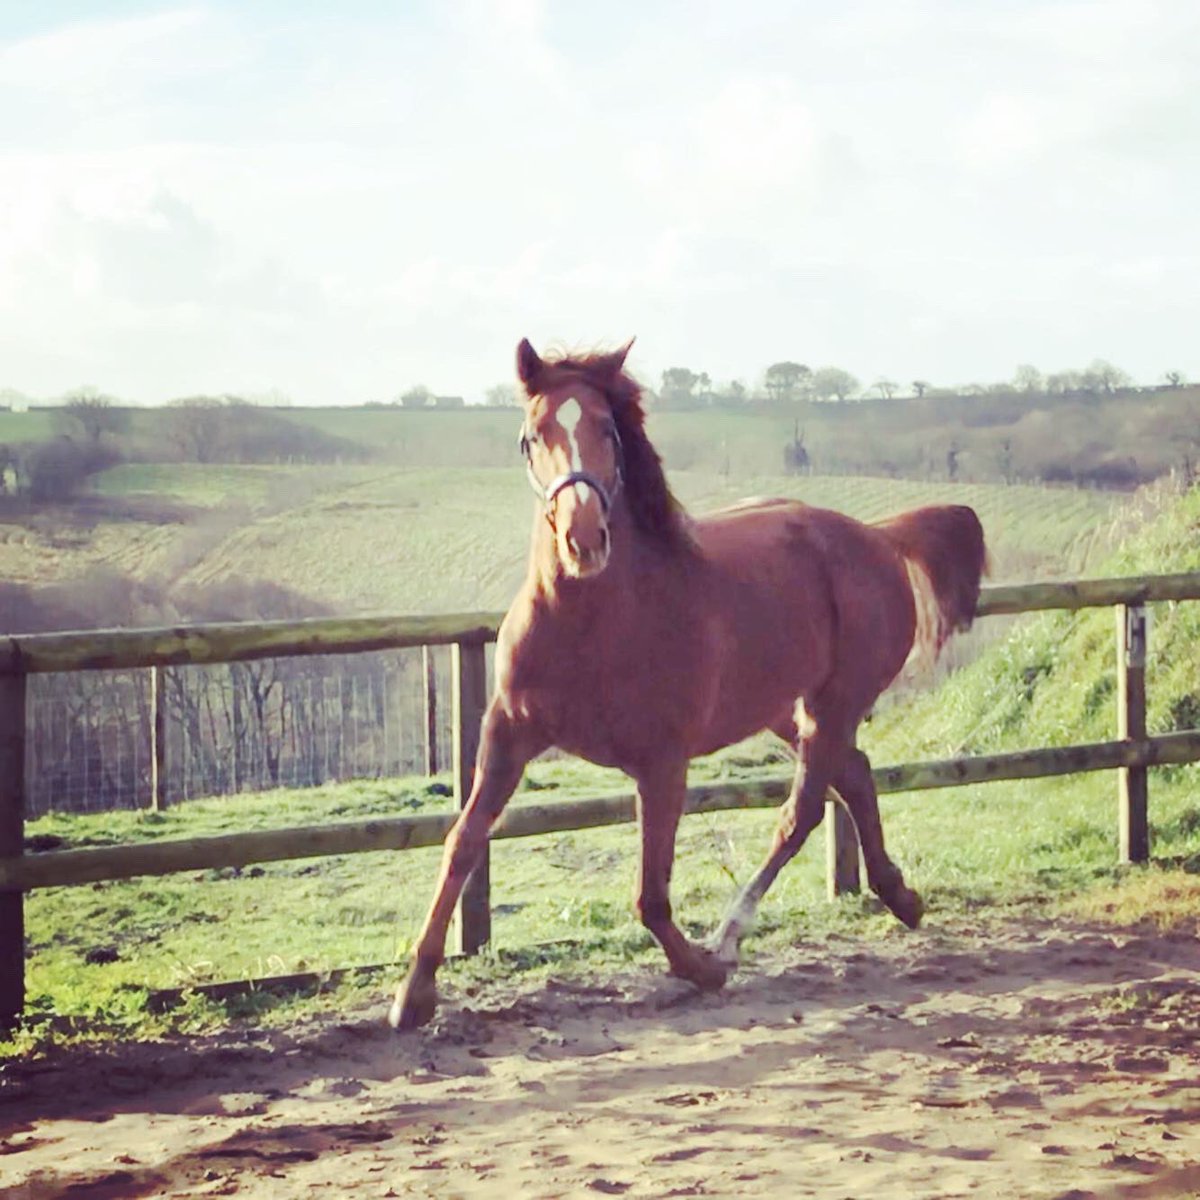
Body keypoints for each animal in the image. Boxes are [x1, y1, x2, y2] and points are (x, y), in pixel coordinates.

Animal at [390, 338, 988, 1030]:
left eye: (608, 430)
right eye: (531, 436)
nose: (584, 540)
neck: (592, 624)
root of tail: (878, 536)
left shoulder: (662, 763)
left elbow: (650, 893)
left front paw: (701, 968)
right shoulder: (506, 736)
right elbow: (462, 841)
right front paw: (412, 995)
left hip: (834, 703)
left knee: (802, 811)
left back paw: (729, 938)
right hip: (785, 708)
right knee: (857, 775)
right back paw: (901, 897)